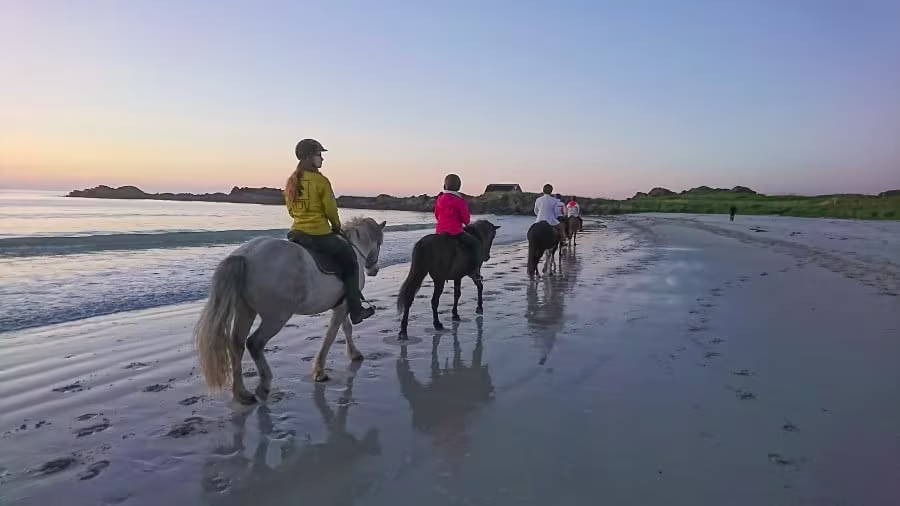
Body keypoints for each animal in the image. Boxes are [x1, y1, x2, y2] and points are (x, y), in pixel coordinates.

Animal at [194, 217, 387, 404]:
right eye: (379, 243)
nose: (374, 269)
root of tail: (246, 256)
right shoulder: (344, 305)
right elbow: (332, 335)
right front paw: (320, 371)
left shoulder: (341, 305)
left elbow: (345, 328)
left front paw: (353, 354)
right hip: (276, 317)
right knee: (254, 343)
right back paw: (264, 386)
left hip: (246, 310)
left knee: (237, 344)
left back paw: (242, 394)